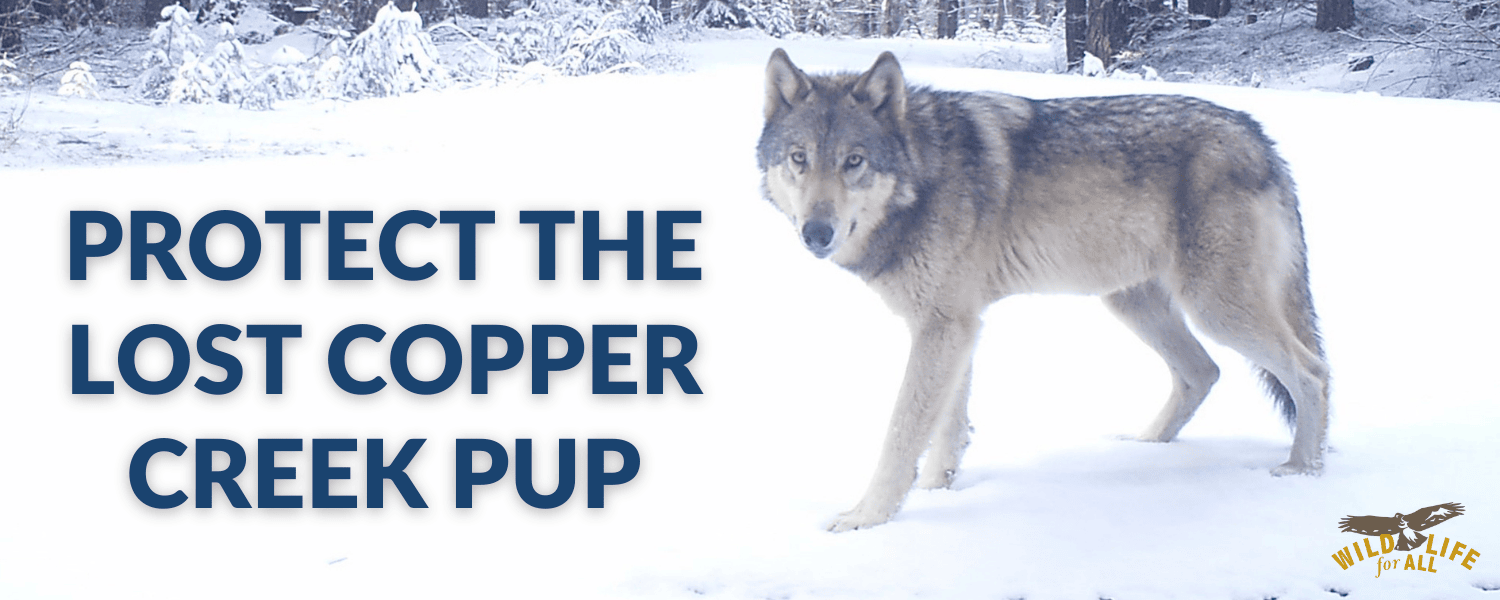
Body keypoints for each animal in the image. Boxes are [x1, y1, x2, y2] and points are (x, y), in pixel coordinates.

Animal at [756, 49, 1330, 532]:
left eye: (854, 161)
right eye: (799, 158)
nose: (816, 232)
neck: (924, 173)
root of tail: (1259, 135)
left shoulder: (944, 327)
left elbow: (902, 434)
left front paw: (867, 517)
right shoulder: (956, 325)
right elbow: (948, 428)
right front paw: (940, 490)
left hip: (1214, 308)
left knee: (1312, 372)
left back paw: (1303, 471)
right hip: (1134, 303)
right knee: (1202, 372)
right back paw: (1145, 445)